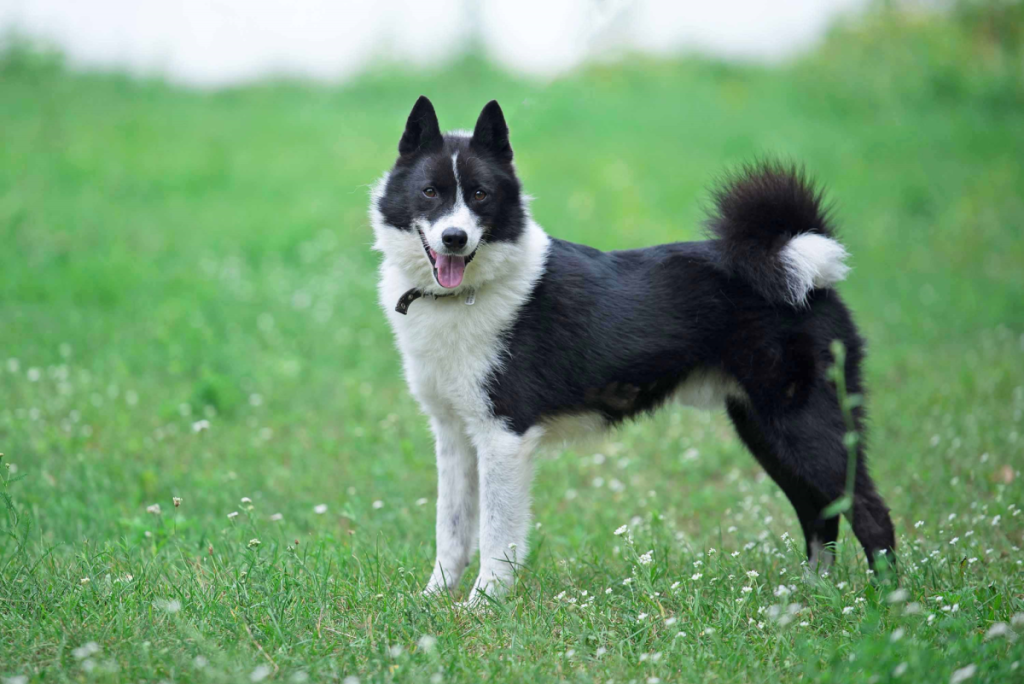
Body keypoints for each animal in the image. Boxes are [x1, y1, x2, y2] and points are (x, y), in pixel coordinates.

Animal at [370, 94, 897, 597]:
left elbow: (497, 537)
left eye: (480, 194)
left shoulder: (503, 436)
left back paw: (888, 602)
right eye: (430, 192)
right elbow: (452, 529)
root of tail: (803, 267)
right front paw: (435, 600)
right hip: (764, 429)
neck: (464, 294)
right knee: (820, 512)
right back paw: (813, 595)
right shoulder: (455, 435)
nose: (454, 238)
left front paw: (485, 604)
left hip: (805, 424)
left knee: (869, 510)